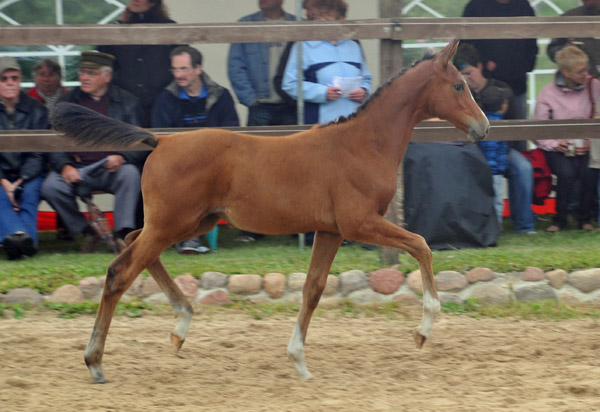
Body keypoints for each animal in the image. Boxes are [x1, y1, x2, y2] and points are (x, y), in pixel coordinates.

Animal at [50, 40, 488, 382]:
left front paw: (299, 362)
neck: (363, 143)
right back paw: (95, 362)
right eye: (458, 84)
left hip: (190, 222)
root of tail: (160, 141)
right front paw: (424, 329)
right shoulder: (359, 222)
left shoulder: (331, 230)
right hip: (173, 222)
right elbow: (421, 244)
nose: (483, 127)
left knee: (132, 241)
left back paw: (180, 324)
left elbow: (313, 289)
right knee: (120, 271)